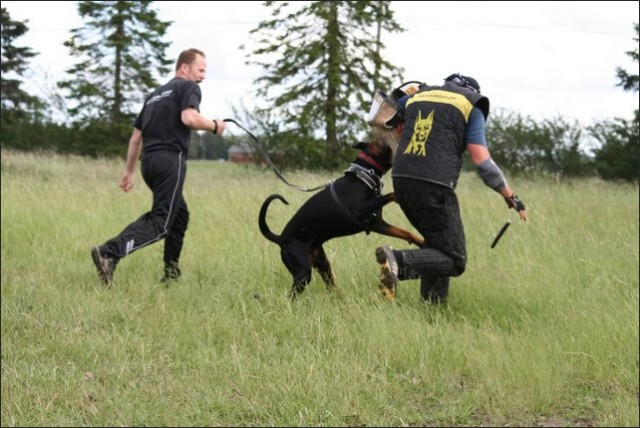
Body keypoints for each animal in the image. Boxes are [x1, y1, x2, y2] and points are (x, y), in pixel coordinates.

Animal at [258, 139, 422, 300]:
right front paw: (397, 197)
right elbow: (389, 195)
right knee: (292, 296)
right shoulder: (363, 211)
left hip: (323, 265)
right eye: (381, 142)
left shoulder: (377, 223)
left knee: (329, 284)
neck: (362, 177)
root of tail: (281, 238)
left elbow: (405, 232)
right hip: (303, 273)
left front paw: (421, 241)